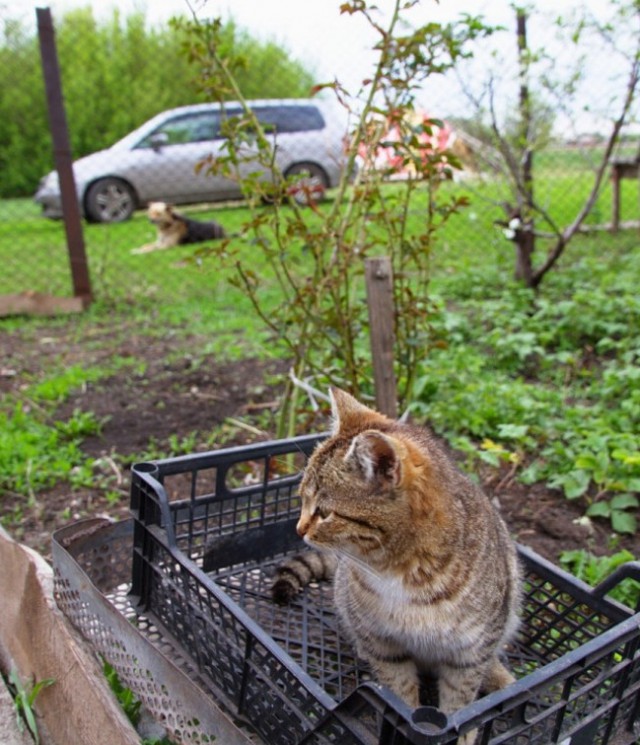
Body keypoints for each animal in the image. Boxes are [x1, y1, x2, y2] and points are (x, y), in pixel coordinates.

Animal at [272, 386, 524, 740]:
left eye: (323, 512)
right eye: (301, 498)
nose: (298, 529)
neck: (402, 570)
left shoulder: (471, 652)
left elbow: (460, 704)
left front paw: (463, 734)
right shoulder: (382, 643)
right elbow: (400, 693)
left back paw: (503, 679)